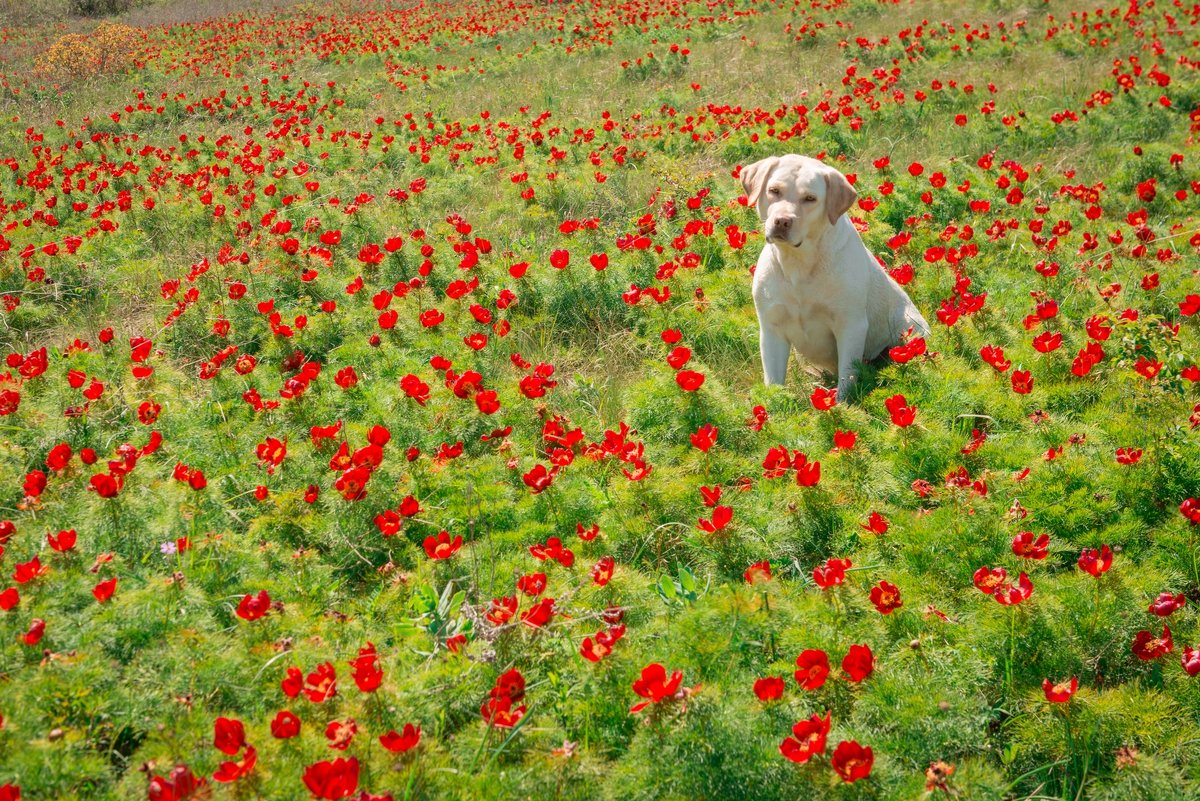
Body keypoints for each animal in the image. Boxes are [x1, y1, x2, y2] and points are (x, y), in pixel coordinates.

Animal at [739, 154, 926, 400]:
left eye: (810, 198)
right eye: (774, 190)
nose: (781, 221)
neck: (799, 263)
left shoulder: (850, 326)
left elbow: (846, 380)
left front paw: (839, 404)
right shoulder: (772, 329)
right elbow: (773, 382)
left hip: (911, 331)